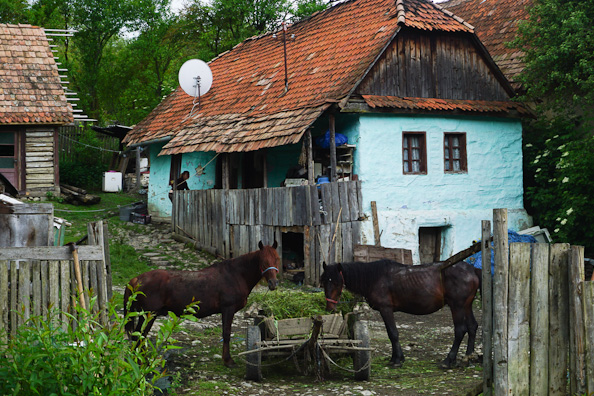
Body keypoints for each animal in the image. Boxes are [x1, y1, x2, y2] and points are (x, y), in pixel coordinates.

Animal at [125, 241, 278, 368]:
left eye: (277, 259)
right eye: (263, 261)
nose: (273, 284)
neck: (235, 275)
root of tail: (136, 279)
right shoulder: (228, 309)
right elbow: (226, 334)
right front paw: (228, 361)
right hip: (148, 315)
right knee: (139, 336)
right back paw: (142, 363)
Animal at [320, 260, 476, 368]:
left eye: (336, 282)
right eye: (324, 281)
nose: (330, 307)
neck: (374, 278)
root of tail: (473, 270)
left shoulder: (386, 309)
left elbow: (393, 333)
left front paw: (397, 360)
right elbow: (391, 334)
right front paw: (396, 358)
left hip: (457, 306)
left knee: (460, 330)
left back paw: (448, 360)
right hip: (467, 306)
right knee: (472, 327)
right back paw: (468, 358)